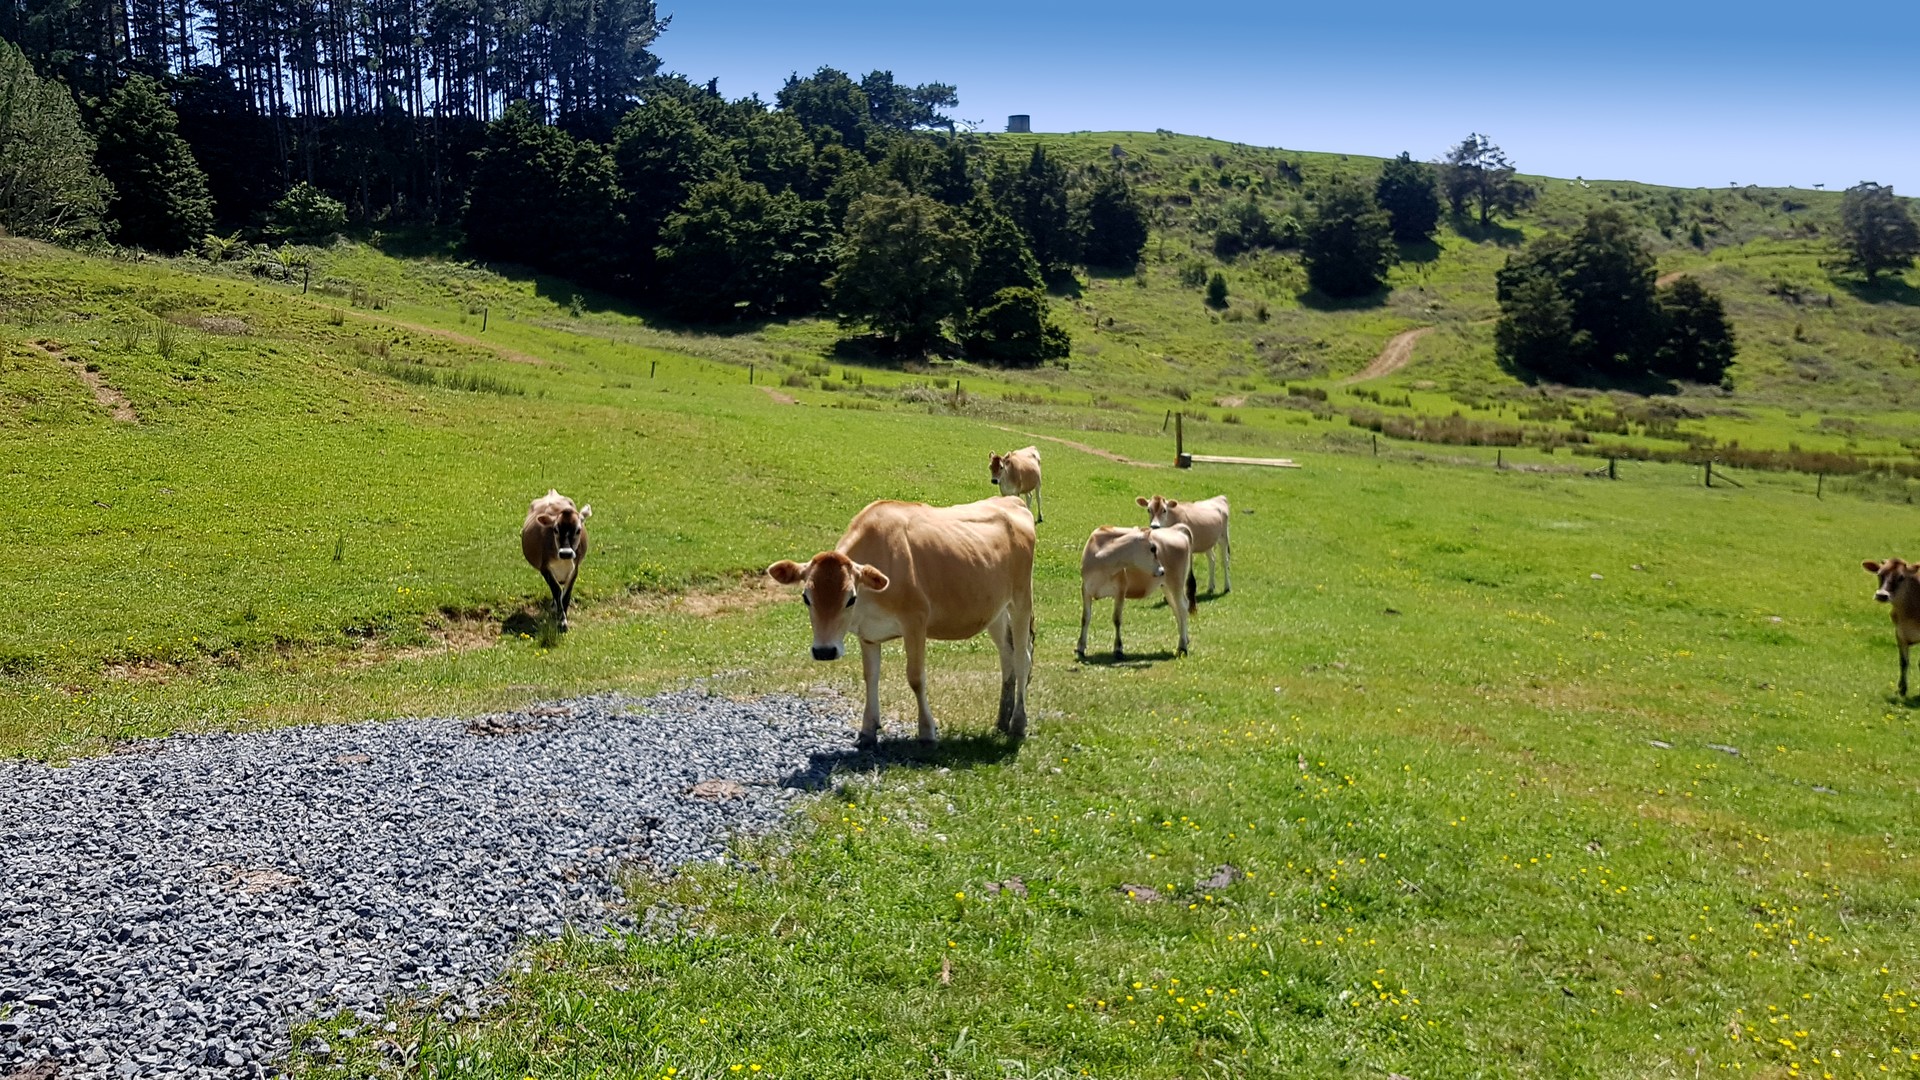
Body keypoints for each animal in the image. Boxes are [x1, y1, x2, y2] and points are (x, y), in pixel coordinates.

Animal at [522, 490, 587, 630]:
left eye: (578, 530)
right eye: (555, 529)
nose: (566, 553)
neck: (563, 562)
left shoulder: (575, 569)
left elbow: (566, 595)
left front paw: (564, 619)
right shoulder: (544, 568)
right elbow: (556, 590)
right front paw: (561, 620)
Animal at [764, 491, 1036, 745]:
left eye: (850, 598)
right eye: (806, 597)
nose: (824, 651)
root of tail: (1011, 501)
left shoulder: (915, 621)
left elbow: (916, 677)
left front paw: (927, 731)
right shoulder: (868, 633)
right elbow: (870, 676)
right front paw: (867, 730)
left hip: (1021, 598)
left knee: (1022, 658)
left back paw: (1018, 723)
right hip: (996, 610)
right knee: (1007, 656)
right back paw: (1002, 719)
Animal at [1075, 522, 1190, 657]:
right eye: (1153, 548)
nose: (1162, 570)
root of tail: (1176, 529)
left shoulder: (1121, 589)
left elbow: (1117, 619)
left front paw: (1118, 648)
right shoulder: (1085, 589)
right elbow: (1085, 618)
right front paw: (1080, 647)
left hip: (1176, 583)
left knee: (1183, 608)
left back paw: (1182, 647)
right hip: (1166, 586)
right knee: (1176, 609)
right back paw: (1185, 640)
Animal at [1858, 557, 1920, 691]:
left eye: (1901, 577)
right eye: (1879, 574)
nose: (1882, 595)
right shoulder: (1899, 634)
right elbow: (1903, 662)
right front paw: (1902, 688)